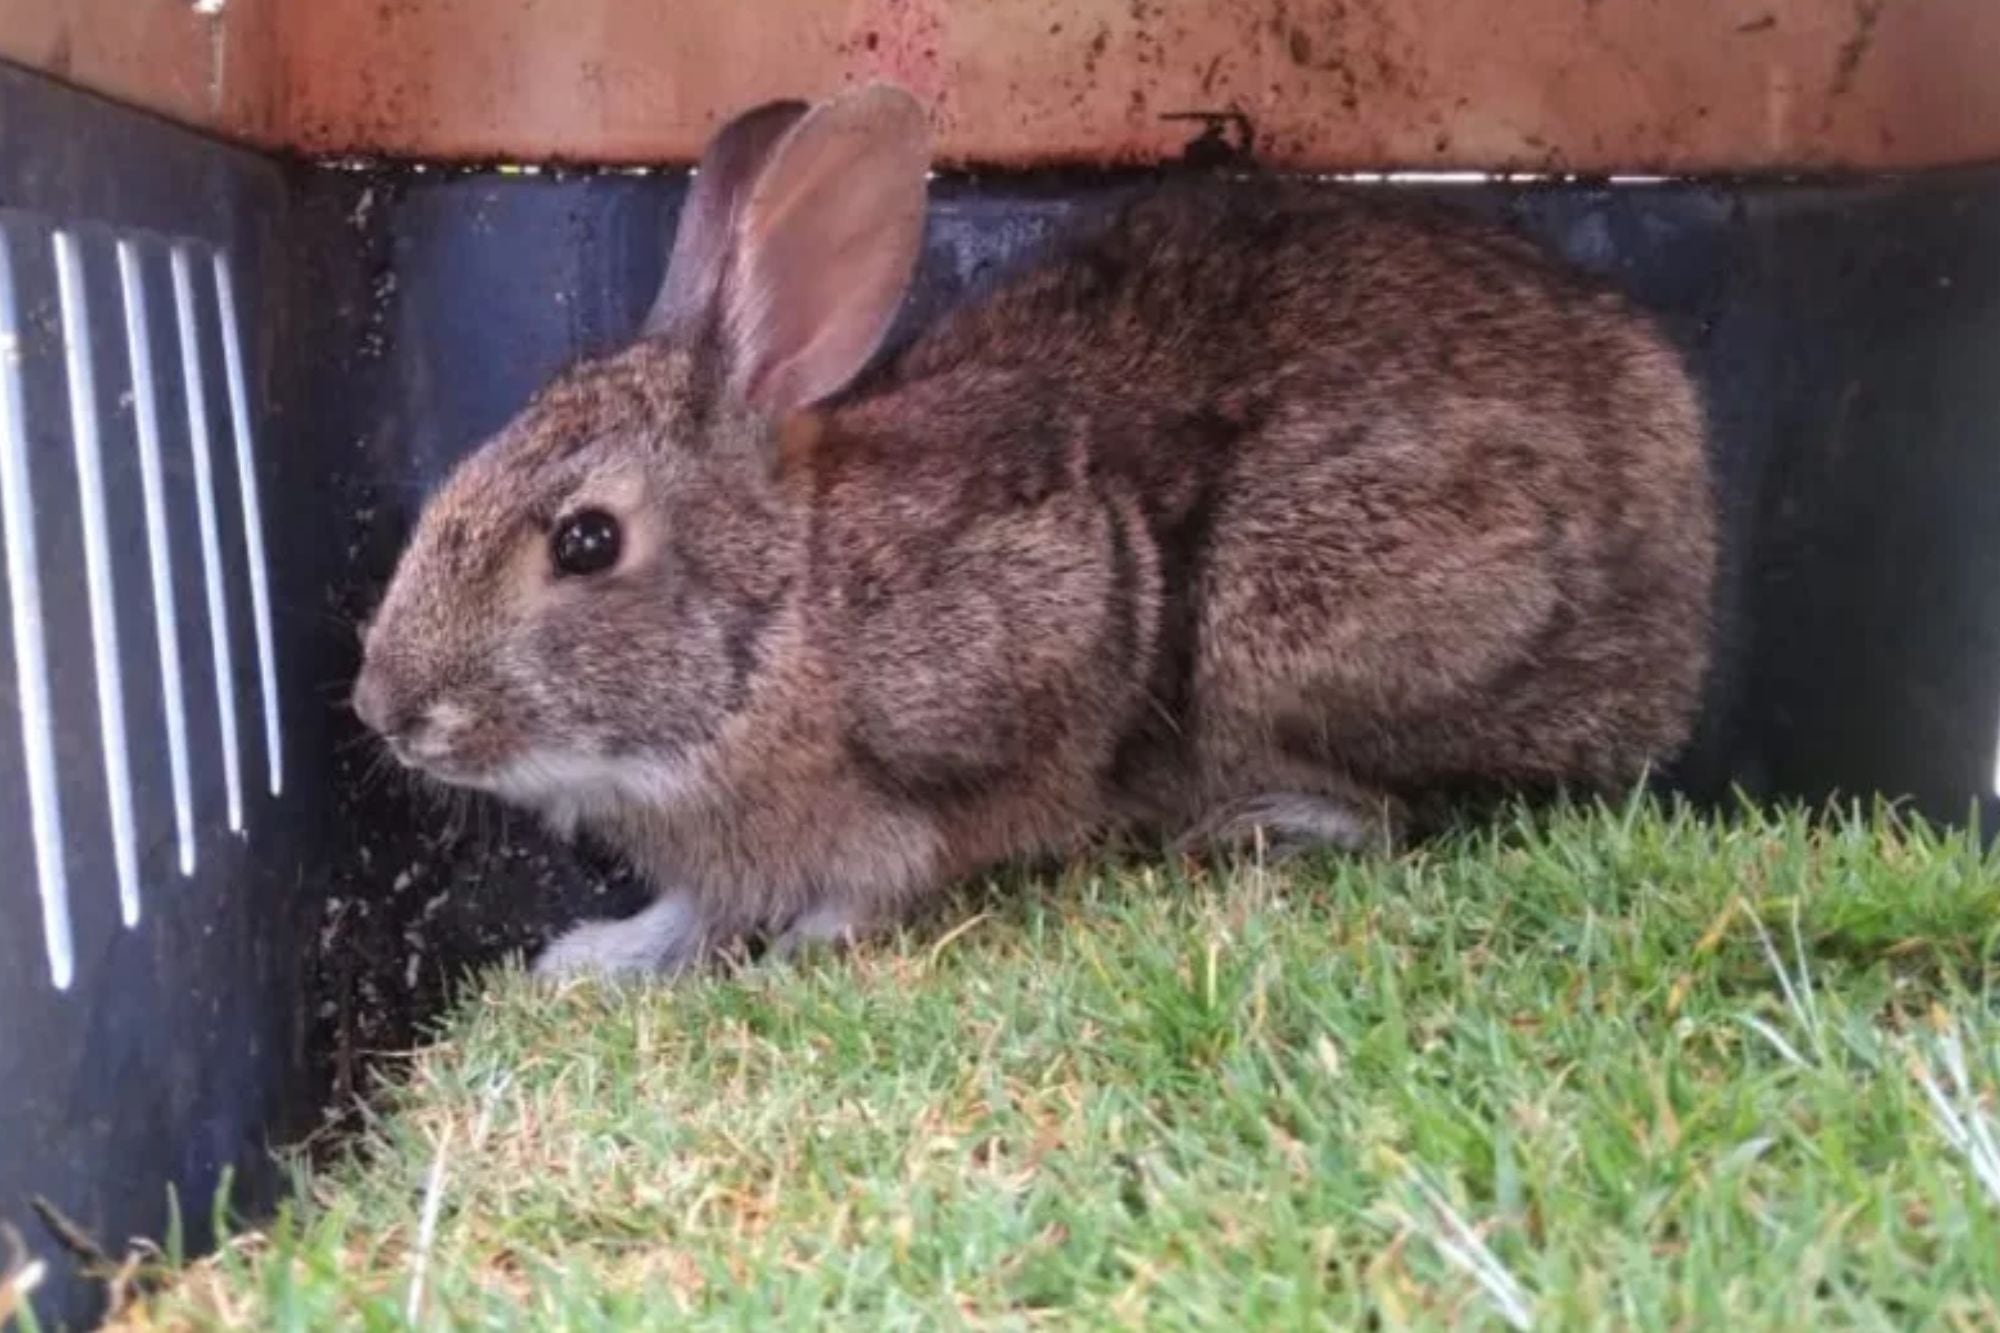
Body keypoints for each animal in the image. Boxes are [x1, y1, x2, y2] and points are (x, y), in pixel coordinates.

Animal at [348, 83, 1720, 976]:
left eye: (584, 541)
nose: (383, 710)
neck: (786, 615)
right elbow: (696, 908)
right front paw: (593, 959)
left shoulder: (1013, 671)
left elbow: (900, 860)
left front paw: (805, 946)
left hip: (1313, 625)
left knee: (1436, 806)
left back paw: (1274, 821)